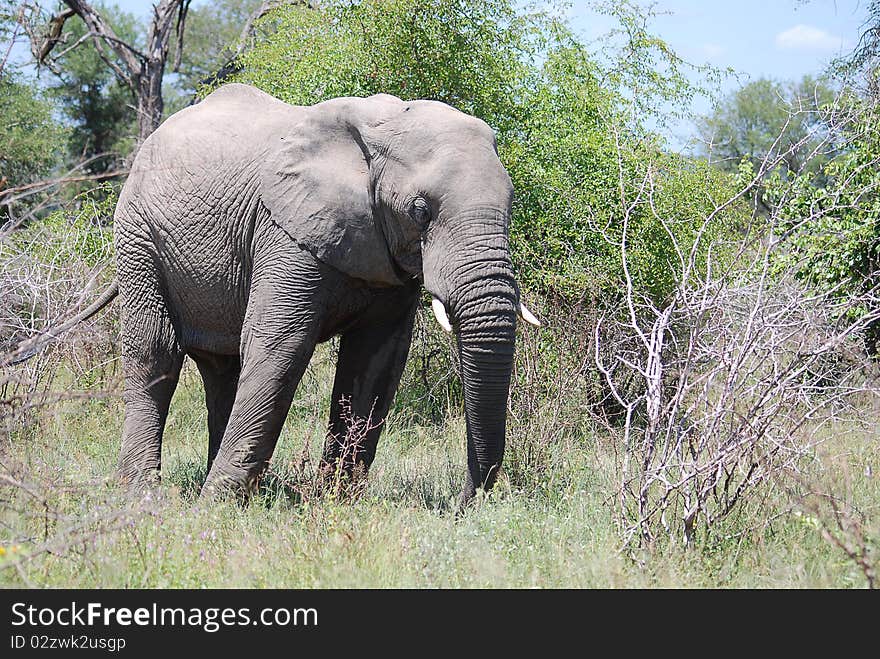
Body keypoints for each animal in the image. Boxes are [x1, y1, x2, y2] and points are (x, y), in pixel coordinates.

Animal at [113, 82, 540, 506]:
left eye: (511, 204)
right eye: (420, 211)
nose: (463, 502)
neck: (381, 129)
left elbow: (375, 358)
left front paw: (335, 499)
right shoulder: (285, 230)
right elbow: (279, 345)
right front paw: (216, 507)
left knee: (223, 369)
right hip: (139, 238)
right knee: (155, 353)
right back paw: (144, 495)